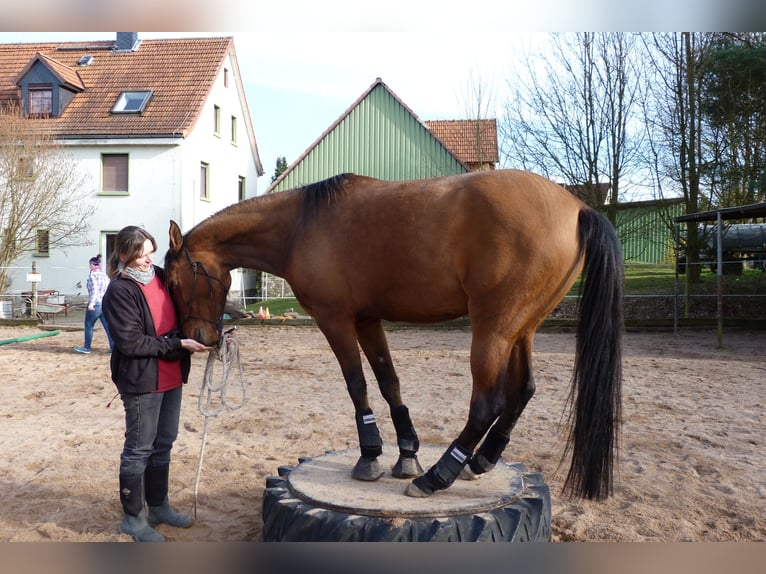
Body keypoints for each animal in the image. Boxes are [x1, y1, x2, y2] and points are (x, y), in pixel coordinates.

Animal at [164, 170, 624, 500]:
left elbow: (357, 384)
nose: (199, 337)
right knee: (522, 391)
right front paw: (407, 453)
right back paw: (482, 461)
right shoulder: (368, 320)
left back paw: (441, 475)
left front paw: (371, 455)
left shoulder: (335, 320)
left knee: (486, 404)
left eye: (173, 281)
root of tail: (577, 208)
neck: (301, 226)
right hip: (522, 329)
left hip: (493, 329)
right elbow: (389, 382)